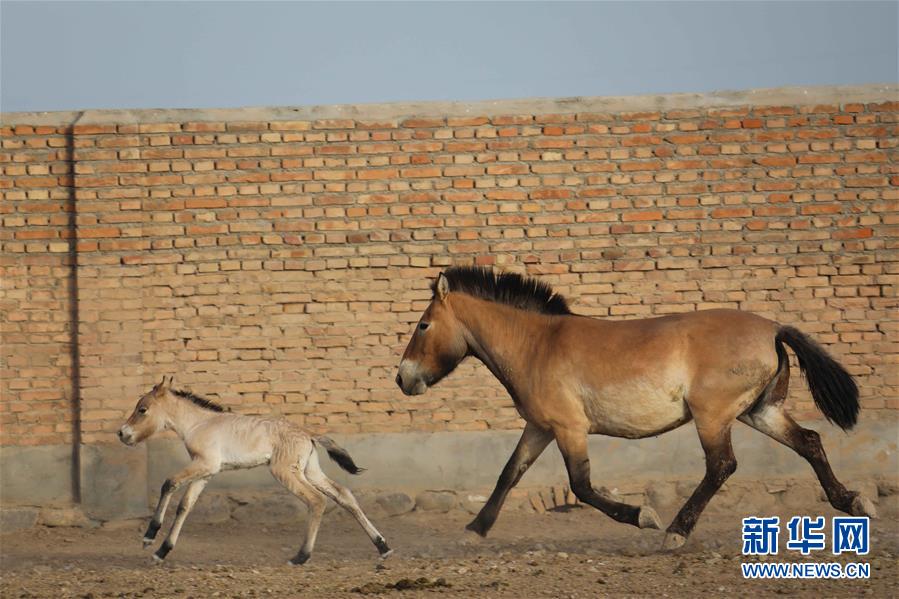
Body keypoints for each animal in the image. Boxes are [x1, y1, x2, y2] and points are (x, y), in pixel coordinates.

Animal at [116, 378, 390, 564]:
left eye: (142, 409)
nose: (122, 433)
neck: (200, 423)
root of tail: (309, 435)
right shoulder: (207, 472)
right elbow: (185, 505)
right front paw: (162, 551)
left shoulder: (204, 465)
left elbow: (169, 483)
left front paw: (149, 537)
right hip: (310, 471)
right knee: (344, 494)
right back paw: (383, 547)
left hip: (285, 472)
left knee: (317, 500)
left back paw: (300, 557)